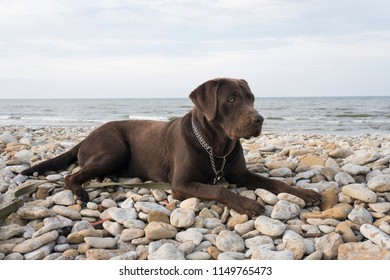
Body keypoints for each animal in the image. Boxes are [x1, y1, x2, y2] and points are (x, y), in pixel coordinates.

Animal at [21, 79, 320, 217]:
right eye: (232, 99)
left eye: (252, 98)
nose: (259, 119)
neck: (216, 147)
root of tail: (84, 139)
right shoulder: (181, 183)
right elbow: (219, 189)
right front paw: (246, 203)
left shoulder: (241, 174)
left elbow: (276, 183)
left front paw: (304, 193)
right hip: (114, 149)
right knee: (71, 176)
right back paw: (82, 192)